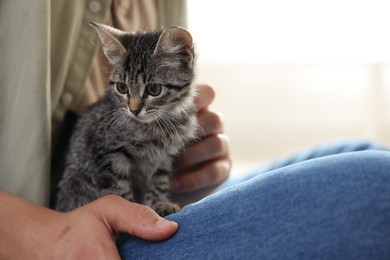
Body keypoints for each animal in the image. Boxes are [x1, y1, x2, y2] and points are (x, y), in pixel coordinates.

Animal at [54, 22, 198, 217]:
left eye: (154, 89)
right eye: (122, 87)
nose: (134, 110)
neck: (156, 127)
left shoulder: (164, 157)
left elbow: (159, 182)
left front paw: (159, 203)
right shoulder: (109, 154)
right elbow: (119, 190)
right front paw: (131, 210)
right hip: (76, 180)